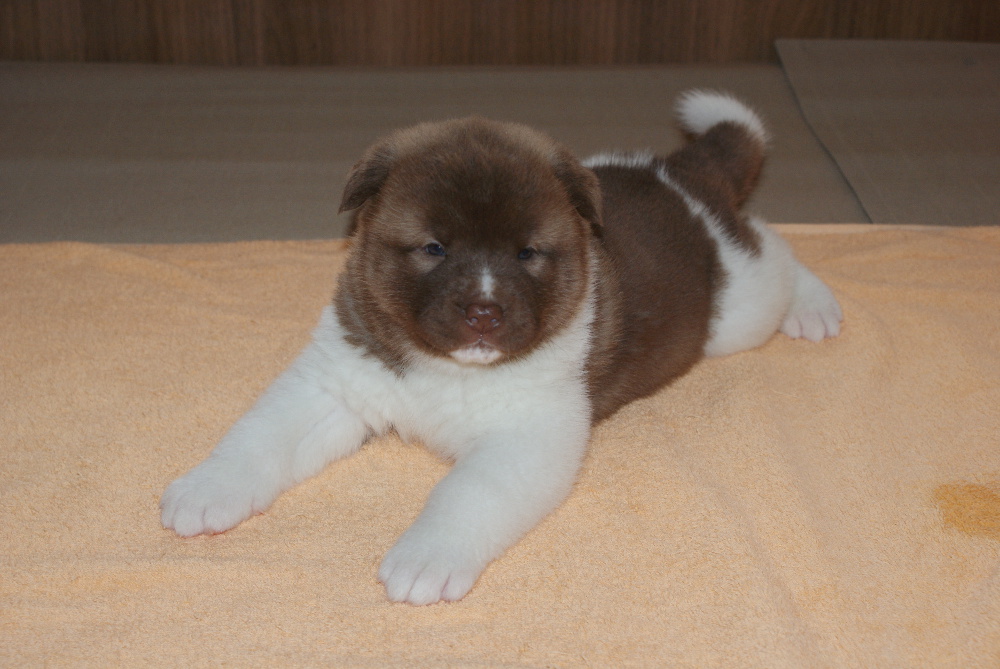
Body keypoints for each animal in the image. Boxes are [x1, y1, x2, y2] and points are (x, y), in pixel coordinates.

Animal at [161, 91, 842, 605]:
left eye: (527, 253)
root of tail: (678, 176)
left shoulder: (527, 435)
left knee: (776, 246)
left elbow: (467, 493)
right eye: (434, 247)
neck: (446, 368)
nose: (485, 312)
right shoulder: (336, 382)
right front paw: (206, 489)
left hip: (739, 310)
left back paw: (814, 306)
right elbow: (259, 434)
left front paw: (427, 556)